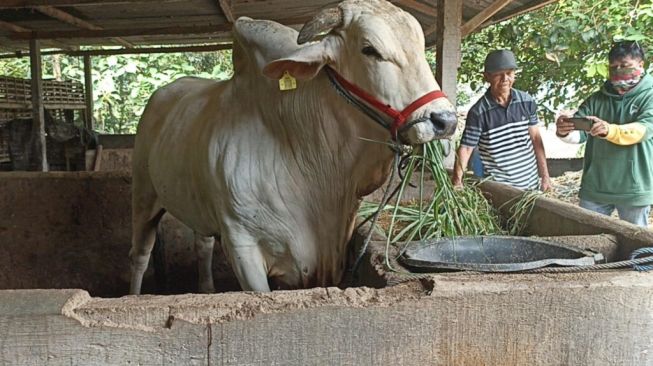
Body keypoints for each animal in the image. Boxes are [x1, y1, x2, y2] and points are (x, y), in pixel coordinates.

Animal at [127, 0, 454, 294]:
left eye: (420, 46)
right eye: (369, 49)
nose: (445, 120)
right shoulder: (242, 246)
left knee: (202, 245)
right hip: (143, 197)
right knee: (140, 255)